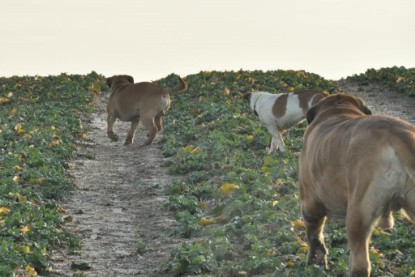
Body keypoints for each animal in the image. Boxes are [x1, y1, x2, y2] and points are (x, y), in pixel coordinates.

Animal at [300, 93, 415, 276]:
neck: (337, 111)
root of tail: (397, 134)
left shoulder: (310, 202)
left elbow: (315, 236)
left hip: (358, 215)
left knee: (360, 263)